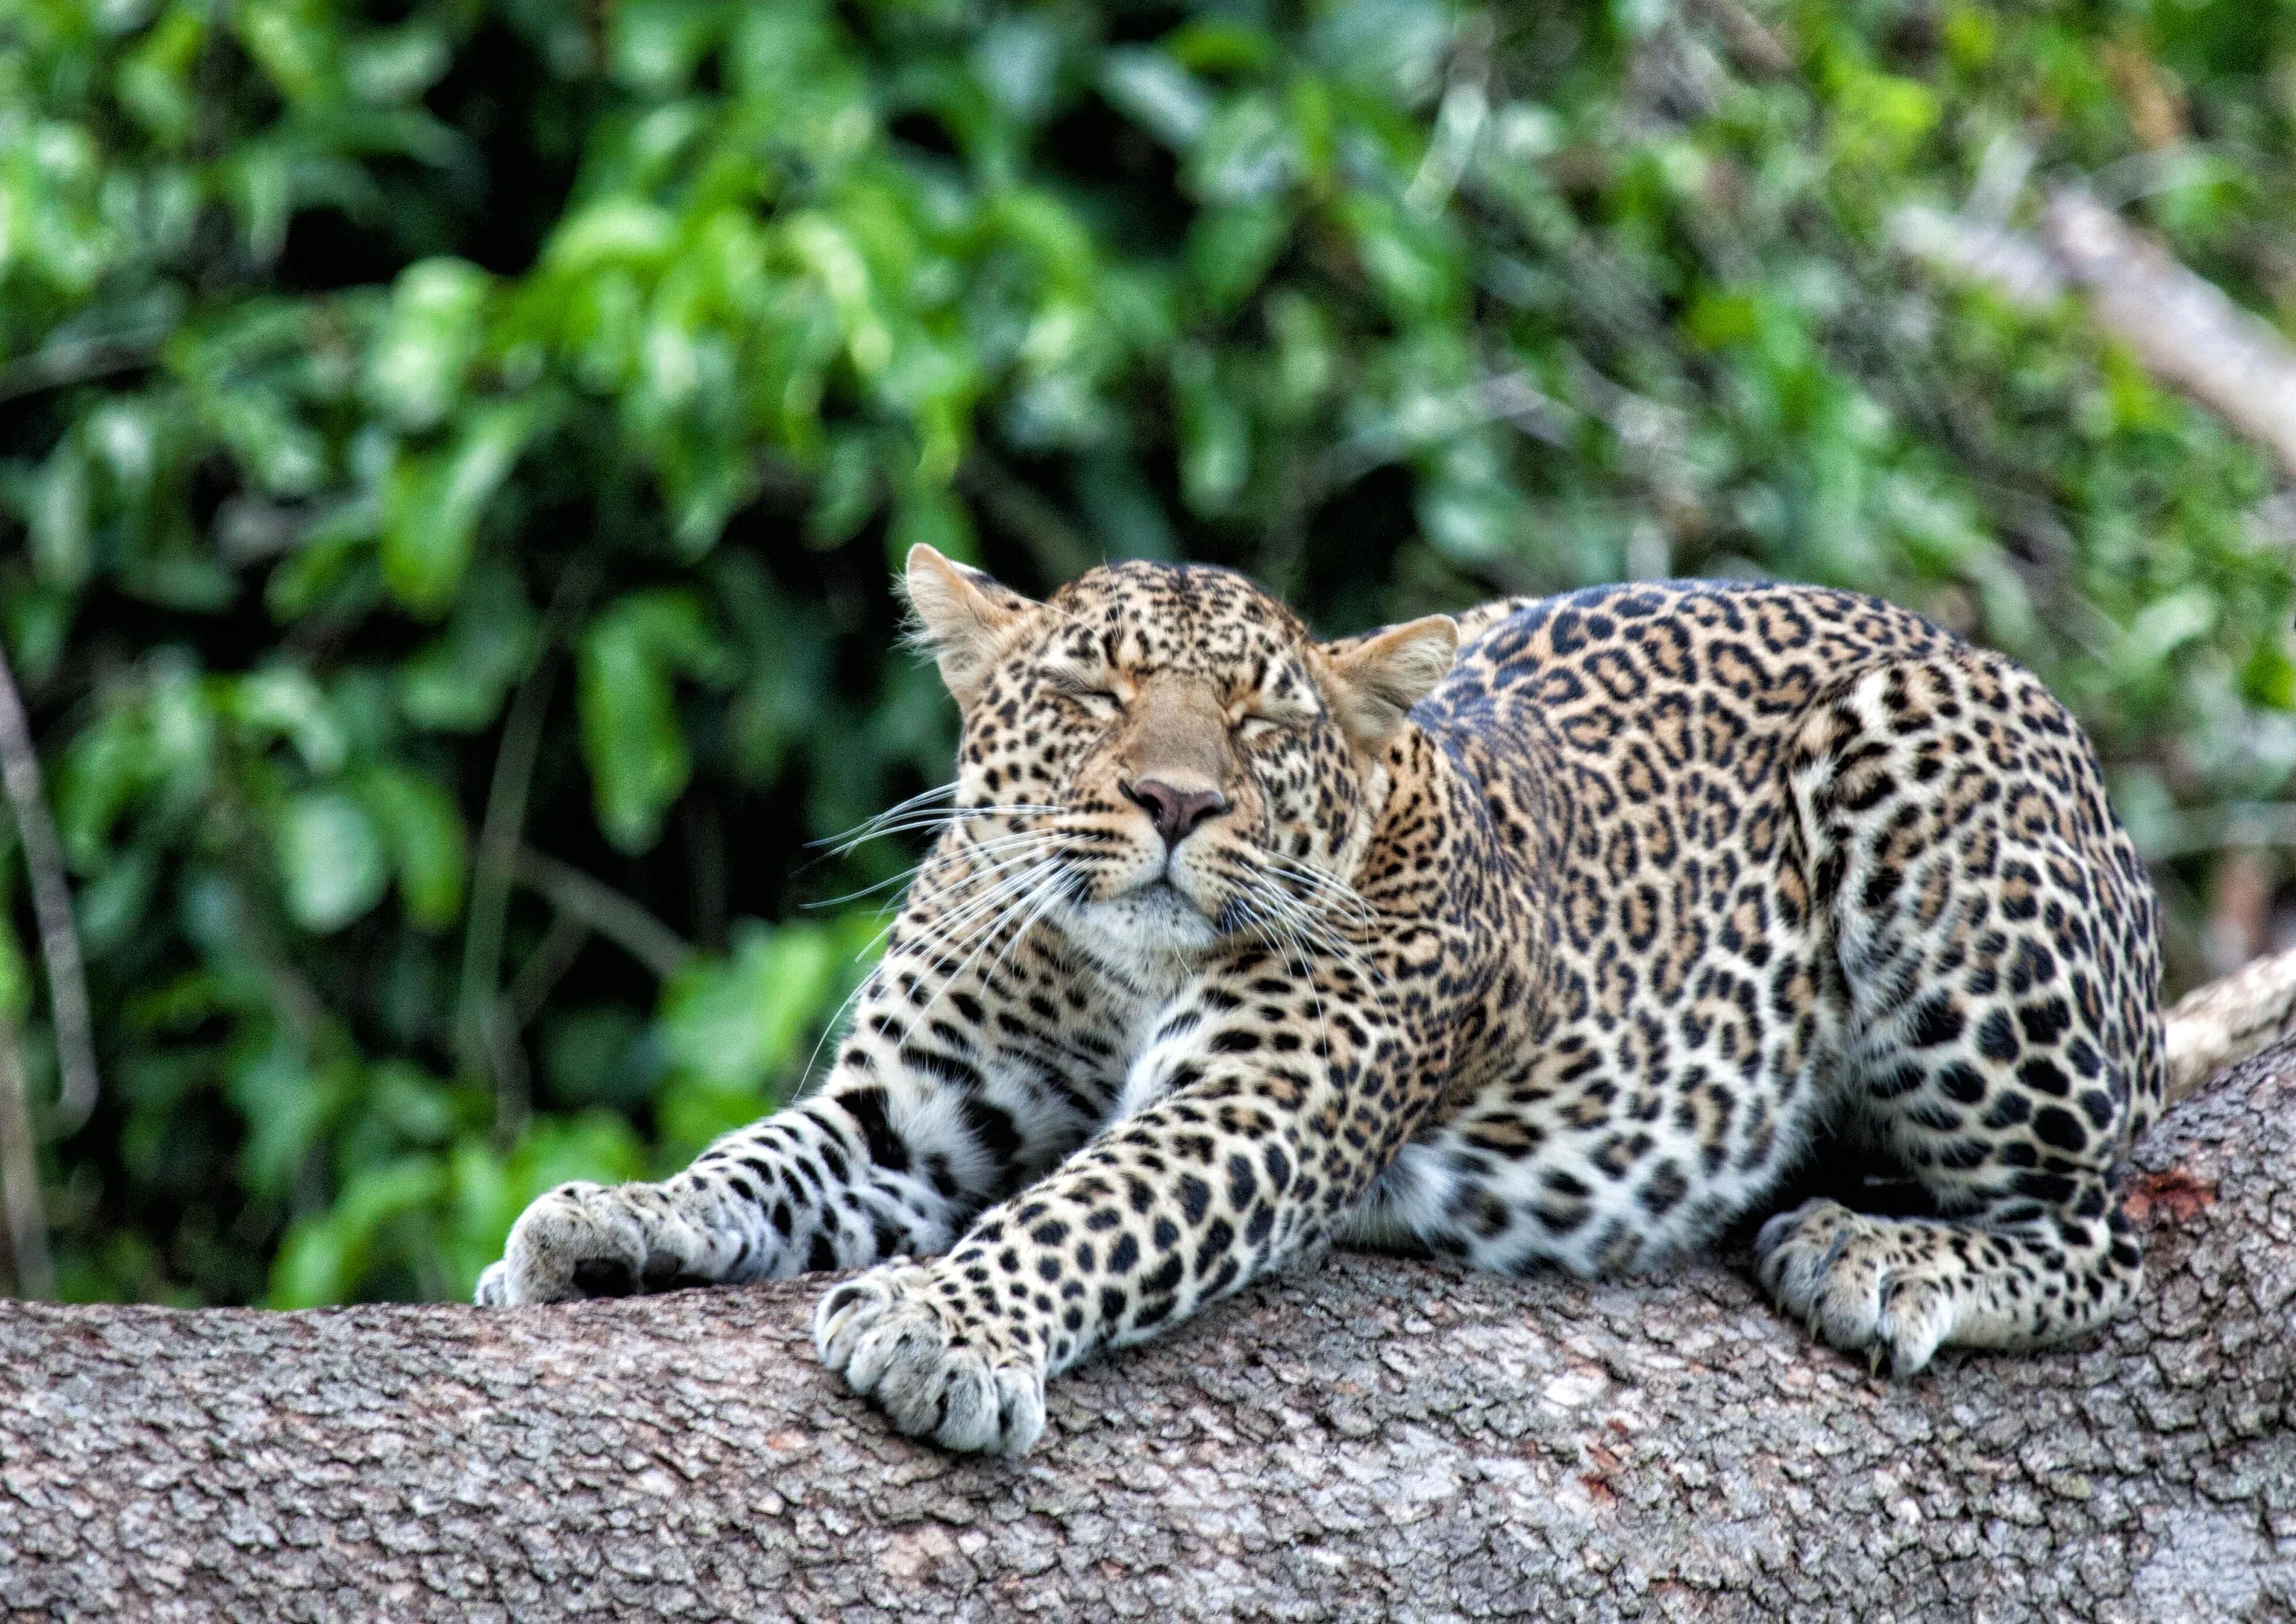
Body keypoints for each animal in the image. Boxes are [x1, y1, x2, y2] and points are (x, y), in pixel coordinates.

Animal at [475, 546, 2165, 1457]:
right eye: (1090, 693)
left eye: (1262, 719)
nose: (1172, 801)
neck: (1114, 968)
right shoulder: (910, 1113)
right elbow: (761, 1157)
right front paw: (606, 1217)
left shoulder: (1256, 1108)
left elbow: (1078, 1208)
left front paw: (940, 1325)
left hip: (1943, 855)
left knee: (2100, 1232)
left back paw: (1877, 1256)